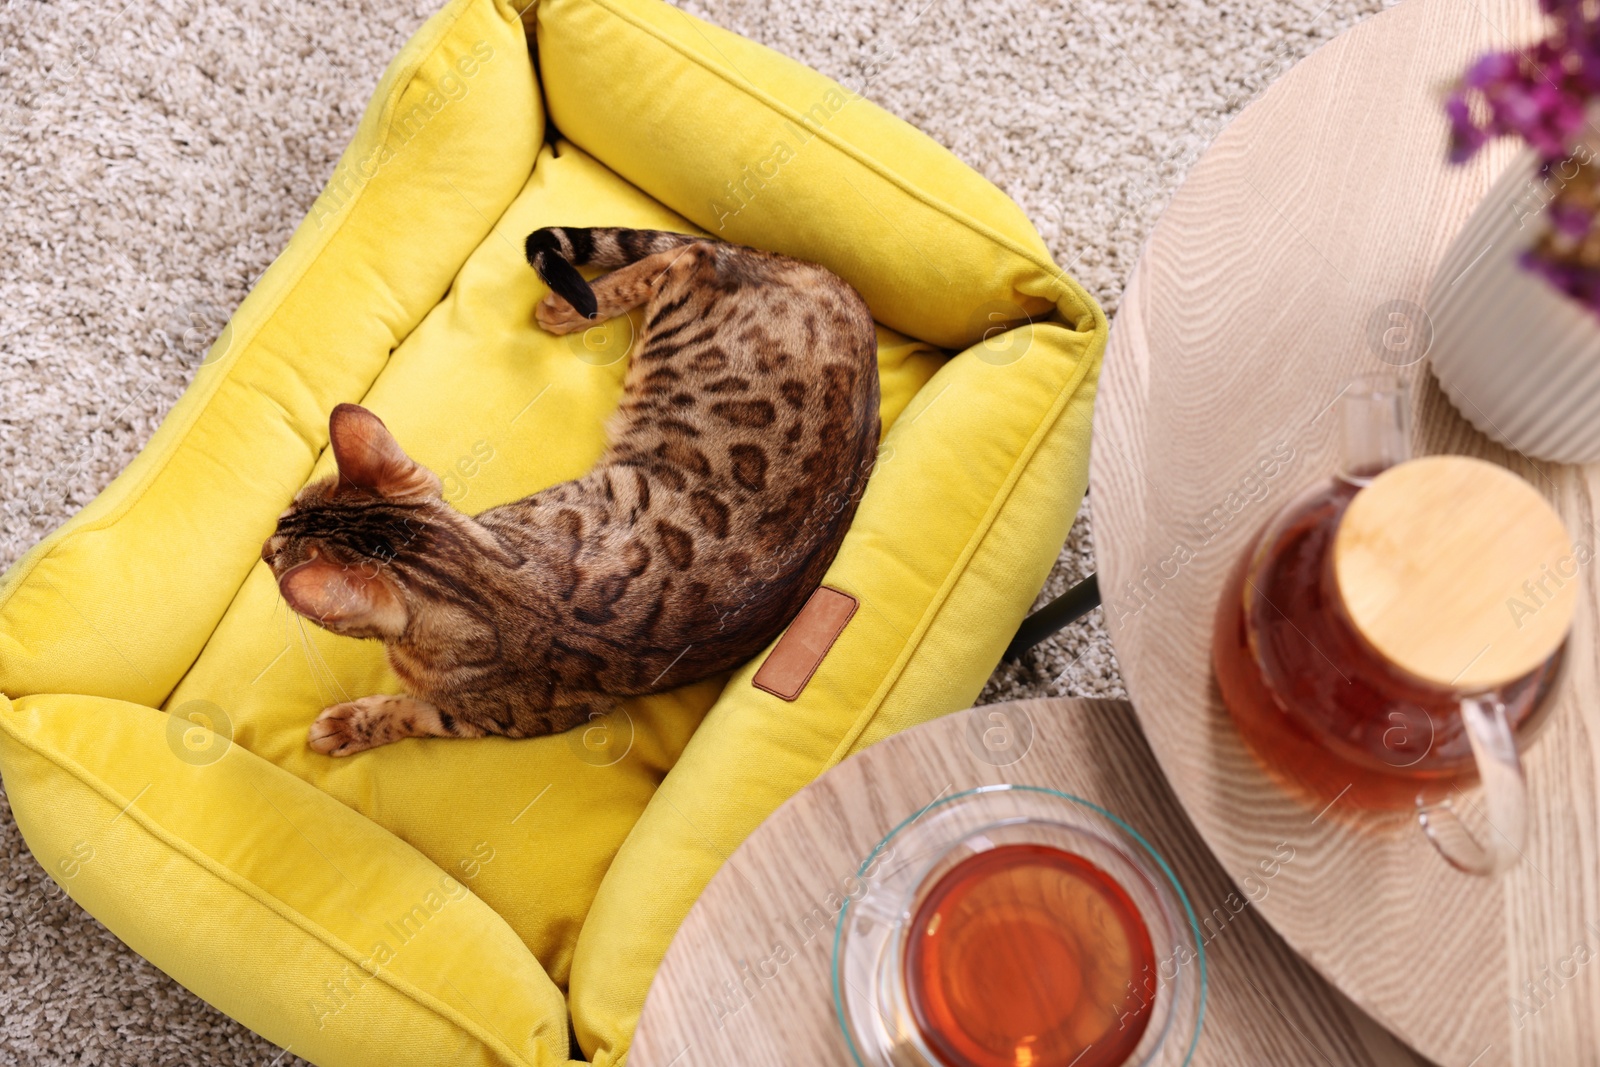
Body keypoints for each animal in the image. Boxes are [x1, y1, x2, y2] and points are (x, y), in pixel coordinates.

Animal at [264, 227, 889, 758]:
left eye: (277, 558)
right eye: (285, 513)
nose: (265, 545)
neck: (489, 585)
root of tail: (840, 290)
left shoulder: (506, 719)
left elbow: (409, 712)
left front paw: (349, 725)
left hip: (677, 335)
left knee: (693, 255)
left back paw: (567, 306)